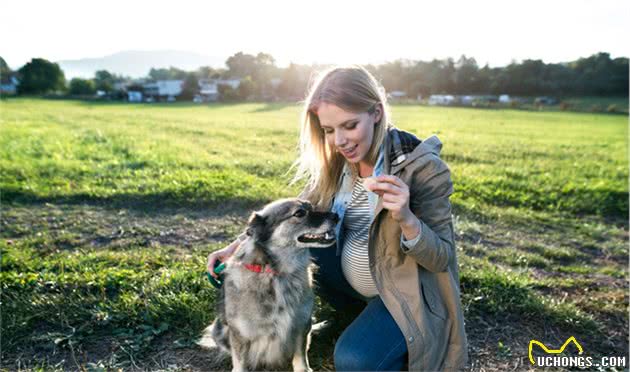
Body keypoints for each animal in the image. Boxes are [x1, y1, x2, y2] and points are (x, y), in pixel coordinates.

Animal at [202, 199, 340, 372]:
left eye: (312, 207)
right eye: (299, 213)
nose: (337, 216)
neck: (278, 274)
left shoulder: (301, 325)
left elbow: (301, 356)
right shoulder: (240, 334)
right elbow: (240, 363)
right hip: (219, 328)